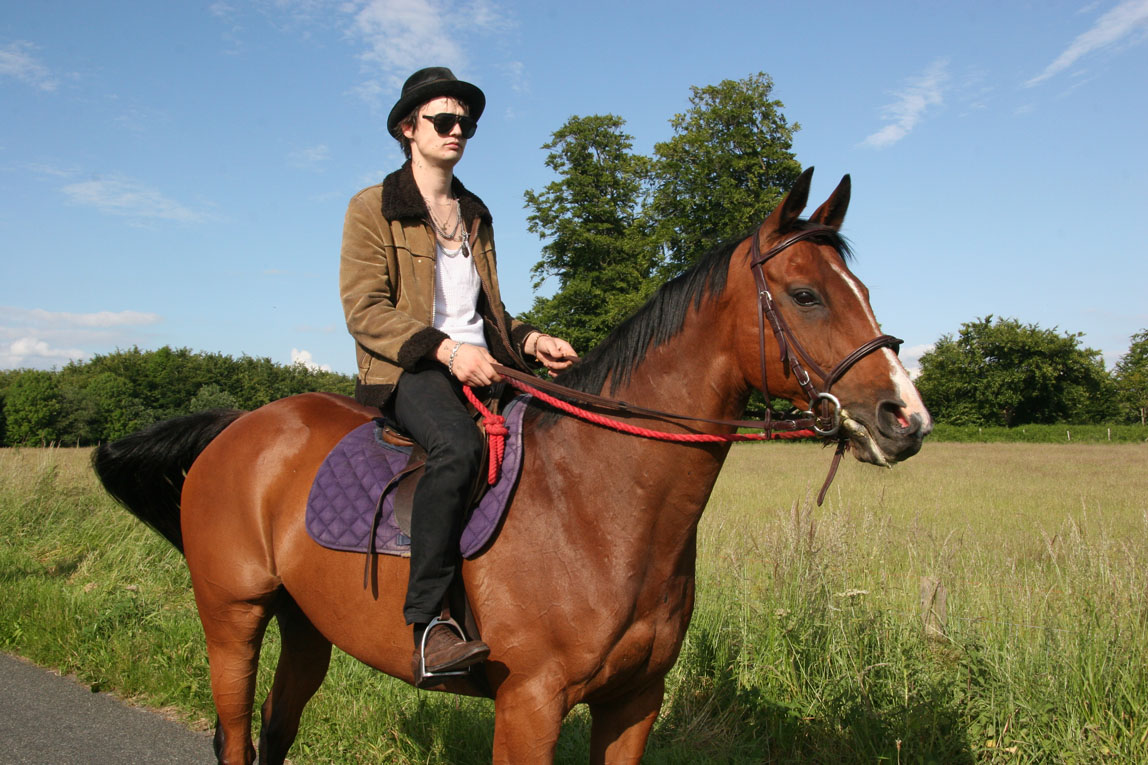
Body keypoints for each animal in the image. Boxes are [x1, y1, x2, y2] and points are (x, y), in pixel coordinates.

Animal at [93, 168, 931, 764]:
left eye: (860, 288)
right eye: (806, 293)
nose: (907, 418)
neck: (598, 504)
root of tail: (239, 427)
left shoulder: (634, 702)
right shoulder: (529, 704)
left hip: (306, 627)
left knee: (275, 730)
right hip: (231, 617)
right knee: (236, 735)